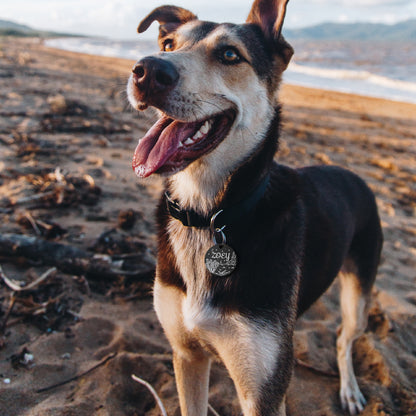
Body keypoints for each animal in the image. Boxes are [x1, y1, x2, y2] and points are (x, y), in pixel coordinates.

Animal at [127, 1, 384, 414]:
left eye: (230, 55)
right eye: (167, 44)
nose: (148, 70)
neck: (209, 214)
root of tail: (355, 176)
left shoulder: (262, 391)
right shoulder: (187, 355)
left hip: (360, 290)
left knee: (345, 338)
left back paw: (349, 388)